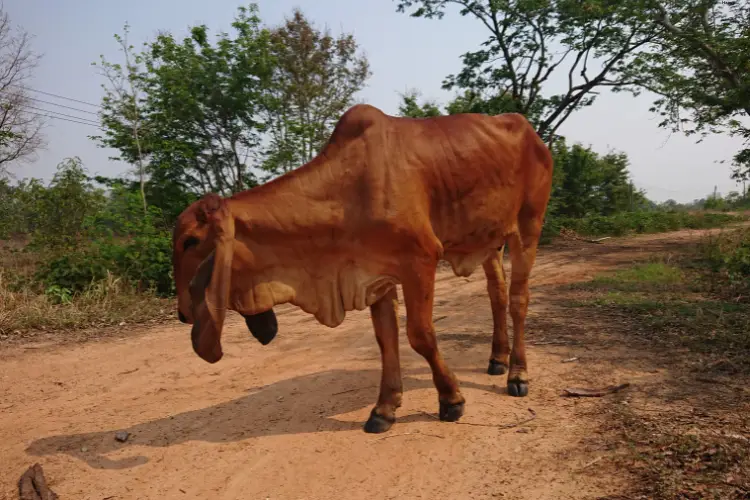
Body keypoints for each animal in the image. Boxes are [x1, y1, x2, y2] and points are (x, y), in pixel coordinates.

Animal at [173, 102, 556, 434]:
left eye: (190, 241)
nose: (182, 314)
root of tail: (531, 133)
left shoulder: (420, 261)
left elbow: (420, 335)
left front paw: (451, 400)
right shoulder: (374, 274)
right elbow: (386, 340)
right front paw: (384, 409)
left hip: (528, 226)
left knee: (519, 299)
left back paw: (517, 374)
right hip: (490, 240)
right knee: (497, 294)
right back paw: (497, 359)